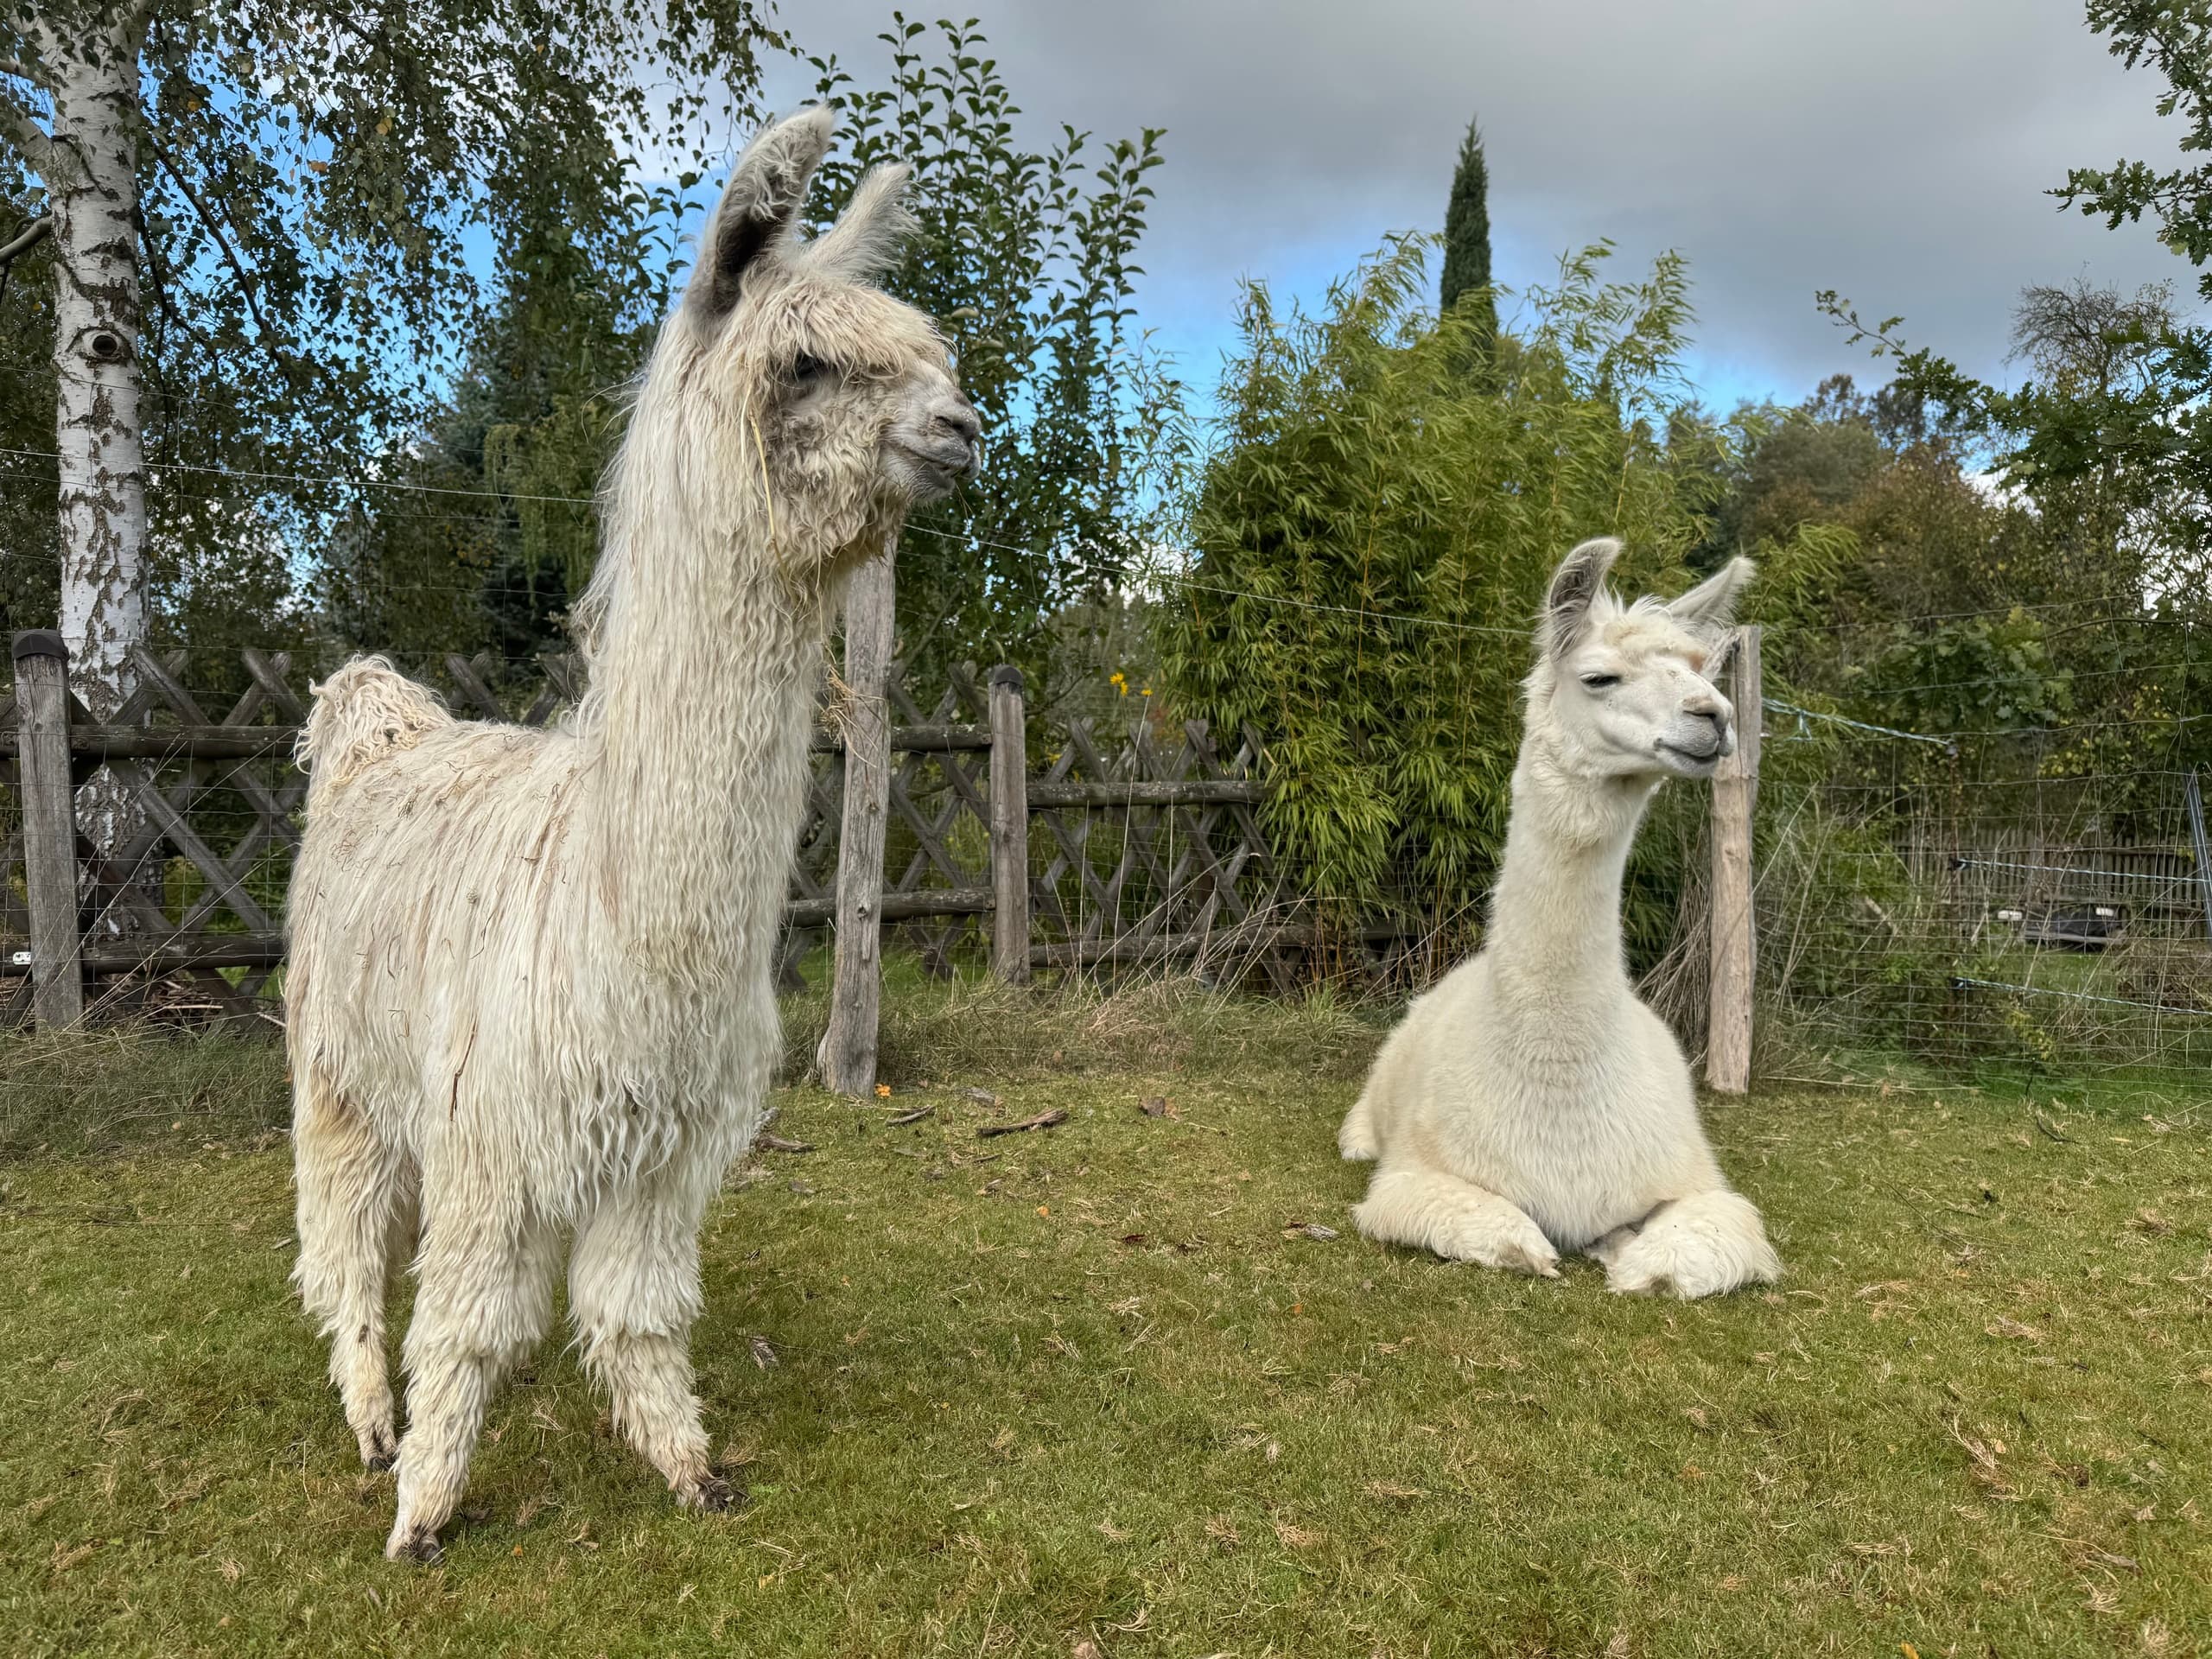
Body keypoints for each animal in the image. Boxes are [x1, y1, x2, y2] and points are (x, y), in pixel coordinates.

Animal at [284, 108, 978, 1561]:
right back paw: (372, 1420)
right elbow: (466, 1322)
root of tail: (381, 726)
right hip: (336, 1066)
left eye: (935, 354)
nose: (964, 428)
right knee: (348, 1246)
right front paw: (426, 1506)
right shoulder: (492, 1133)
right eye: (808, 359)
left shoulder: (664, 1150)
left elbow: (638, 1313)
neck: (623, 920)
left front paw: (688, 1467)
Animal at [1339, 538, 1783, 1299]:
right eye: (1599, 676)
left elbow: (1695, 1246)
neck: (1562, 1100)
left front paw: (1627, 1257)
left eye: (1701, 670)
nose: (1716, 716)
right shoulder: (1416, 1178)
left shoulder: (1697, 1182)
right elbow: (1509, 1233)